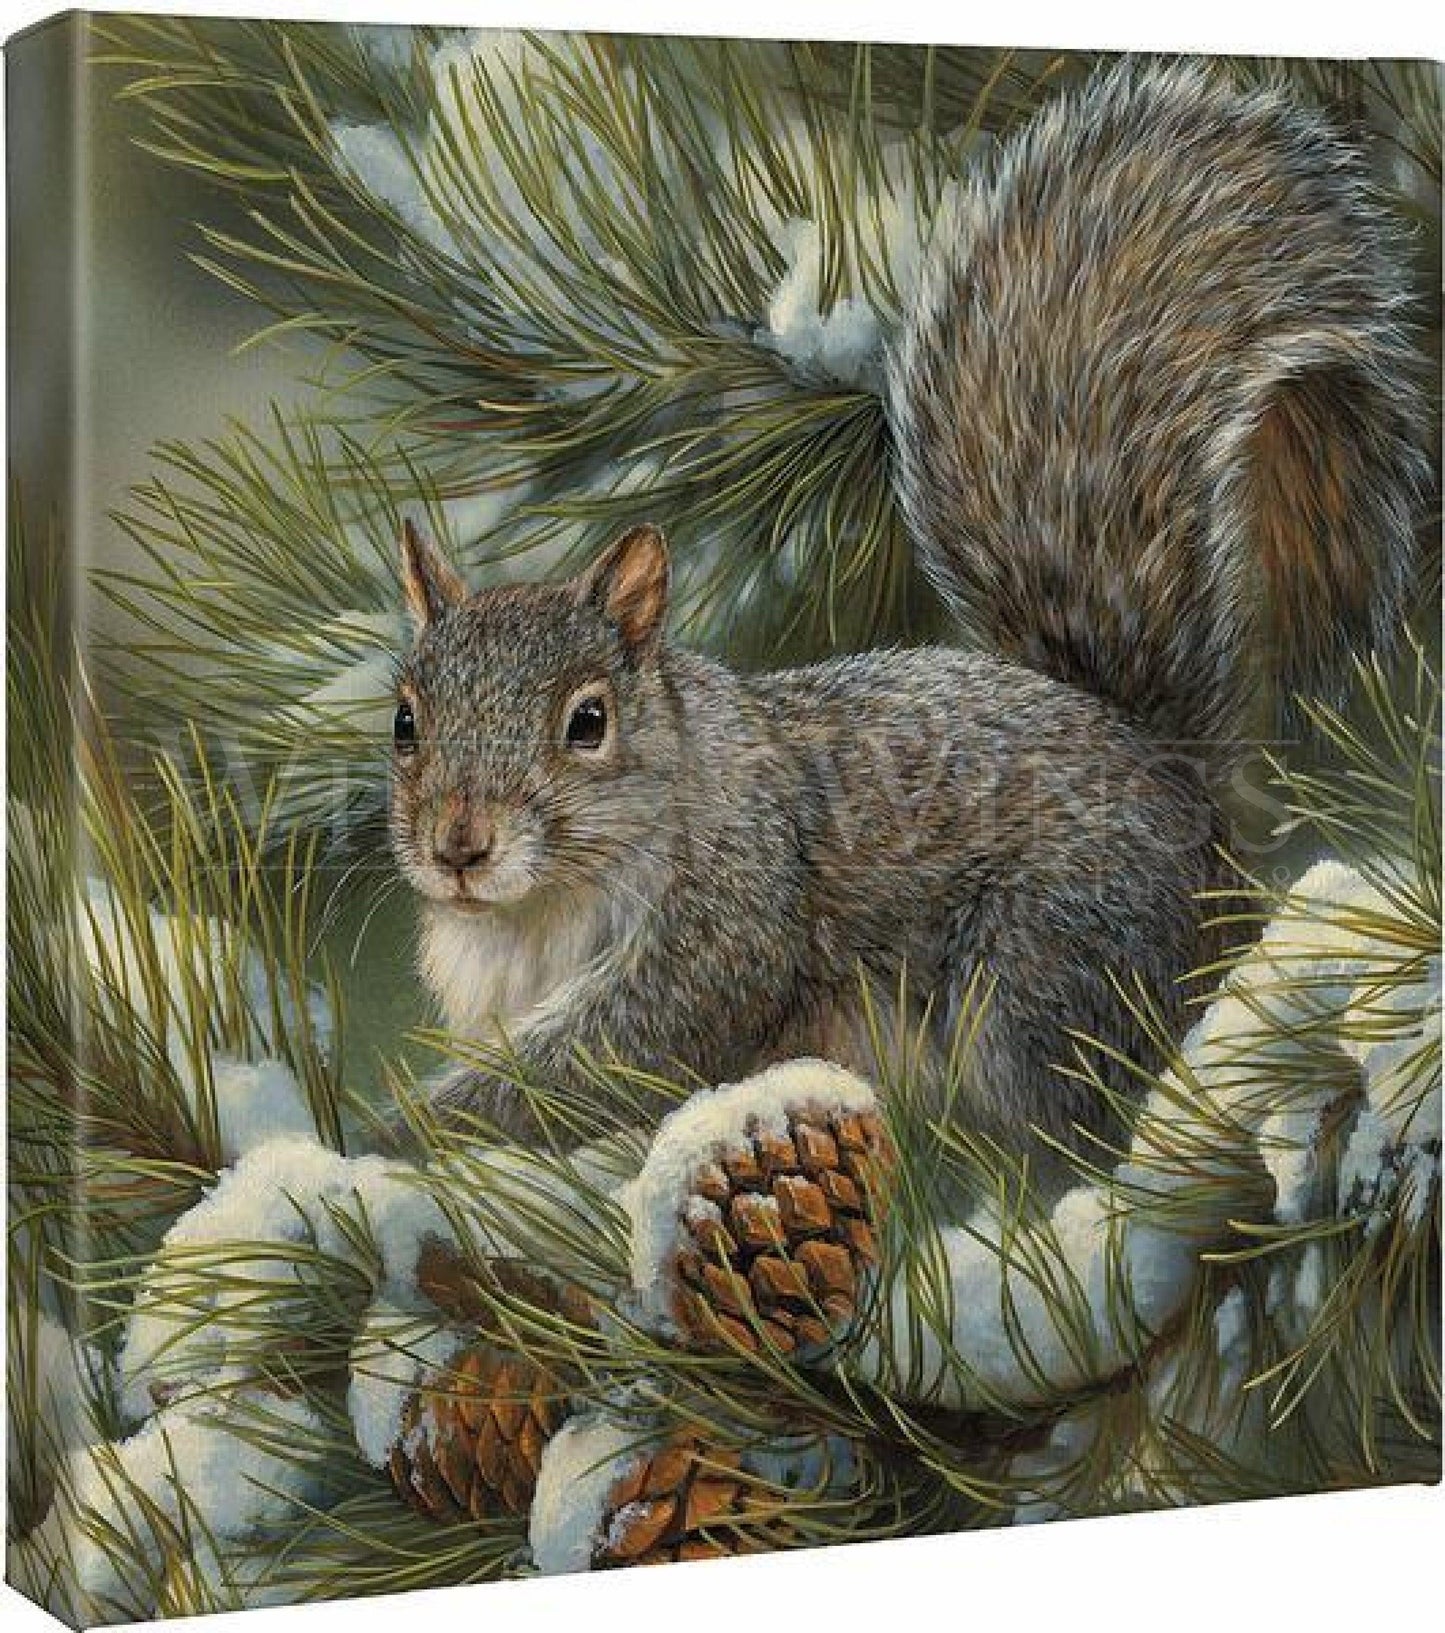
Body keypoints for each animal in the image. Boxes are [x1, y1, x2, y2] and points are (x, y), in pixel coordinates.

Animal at [389, 64, 1424, 1159]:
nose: (459, 846)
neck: (533, 912)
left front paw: (401, 1131)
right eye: (405, 721)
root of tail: (1179, 787)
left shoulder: (723, 921)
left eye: (587, 720)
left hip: (1045, 971)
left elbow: (610, 1055)